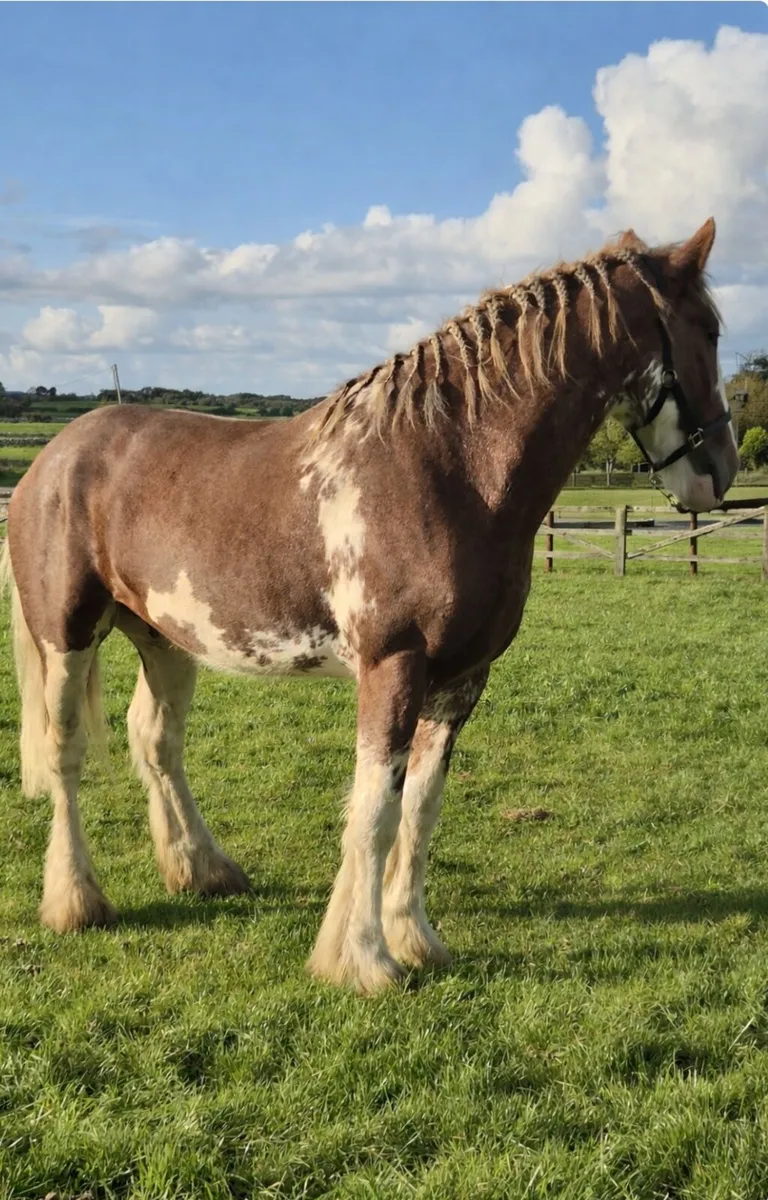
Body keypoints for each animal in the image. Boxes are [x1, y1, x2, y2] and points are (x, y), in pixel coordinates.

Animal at [1, 218, 738, 994]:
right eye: (709, 329)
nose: (720, 471)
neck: (450, 467)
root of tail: (51, 460)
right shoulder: (393, 666)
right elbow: (375, 813)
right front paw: (363, 959)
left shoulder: (462, 678)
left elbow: (420, 810)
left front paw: (415, 939)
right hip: (67, 636)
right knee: (65, 753)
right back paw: (76, 902)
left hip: (166, 640)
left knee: (155, 739)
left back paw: (201, 870)